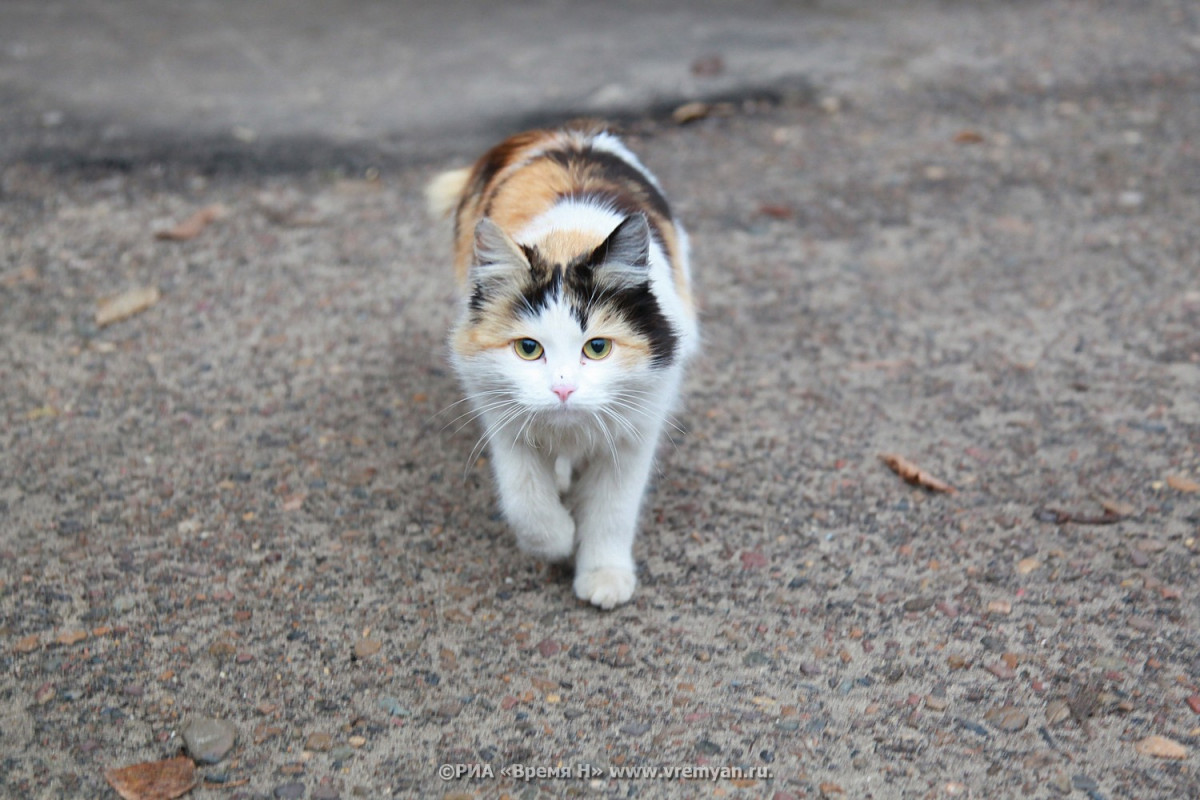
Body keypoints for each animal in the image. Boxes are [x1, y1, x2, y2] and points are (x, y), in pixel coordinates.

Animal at [427, 125, 700, 609]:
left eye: (597, 348)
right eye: (528, 349)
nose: (563, 390)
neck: (569, 238)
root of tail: (559, 133)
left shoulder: (633, 434)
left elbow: (612, 511)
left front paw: (603, 577)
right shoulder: (502, 420)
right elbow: (526, 501)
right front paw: (557, 541)